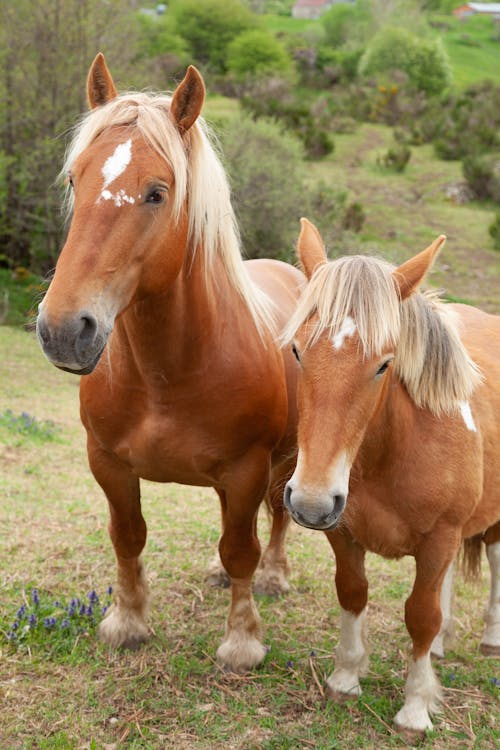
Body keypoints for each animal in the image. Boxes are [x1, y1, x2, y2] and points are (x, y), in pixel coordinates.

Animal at [284, 220, 498, 736]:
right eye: (298, 351)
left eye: (383, 364)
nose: (310, 502)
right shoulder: (343, 533)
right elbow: (353, 592)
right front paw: (345, 678)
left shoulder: (440, 537)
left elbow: (420, 613)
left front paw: (416, 707)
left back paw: (490, 638)